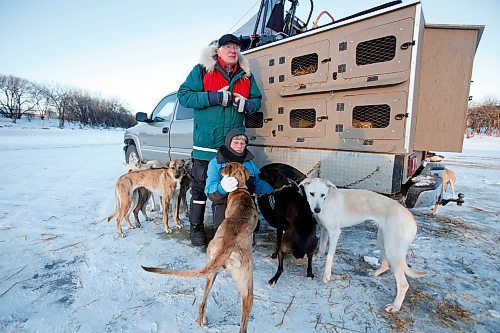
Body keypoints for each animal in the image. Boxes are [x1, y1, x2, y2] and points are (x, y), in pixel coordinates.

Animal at [142, 161, 256, 332]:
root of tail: (228, 246)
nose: (220, 169)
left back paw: (201, 320)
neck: (239, 189)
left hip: (217, 276)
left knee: (203, 303)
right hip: (246, 284)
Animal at [300, 176, 426, 312]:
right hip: (382, 240)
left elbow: (329, 256)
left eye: (323, 195)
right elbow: (322, 246)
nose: (317, 210)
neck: (326, 201)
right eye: (312, 194)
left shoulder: (334, 232)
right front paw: (317, 256)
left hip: (392, 250)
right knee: (385, 264)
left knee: (403, 284)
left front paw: (326, 276)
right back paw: (375, 273)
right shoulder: (324, 229)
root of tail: (412, 220)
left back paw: (395, 306)